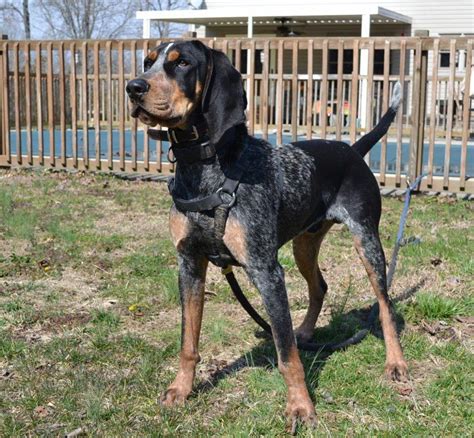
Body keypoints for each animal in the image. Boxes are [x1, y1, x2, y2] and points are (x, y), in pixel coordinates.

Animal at [127, 39, 408, 430]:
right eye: (148, 61)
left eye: (181, 63)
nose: (133, 87)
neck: (204, 168)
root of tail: (351, 149)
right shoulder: (189, 264)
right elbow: (188, 343)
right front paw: (181, 389)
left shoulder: (266, 270)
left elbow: (287, 354)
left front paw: (301, 407)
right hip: (305, 244)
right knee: (319, 287)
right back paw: (306, 331)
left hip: (367, 242)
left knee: (384, 306)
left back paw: (395, 362)